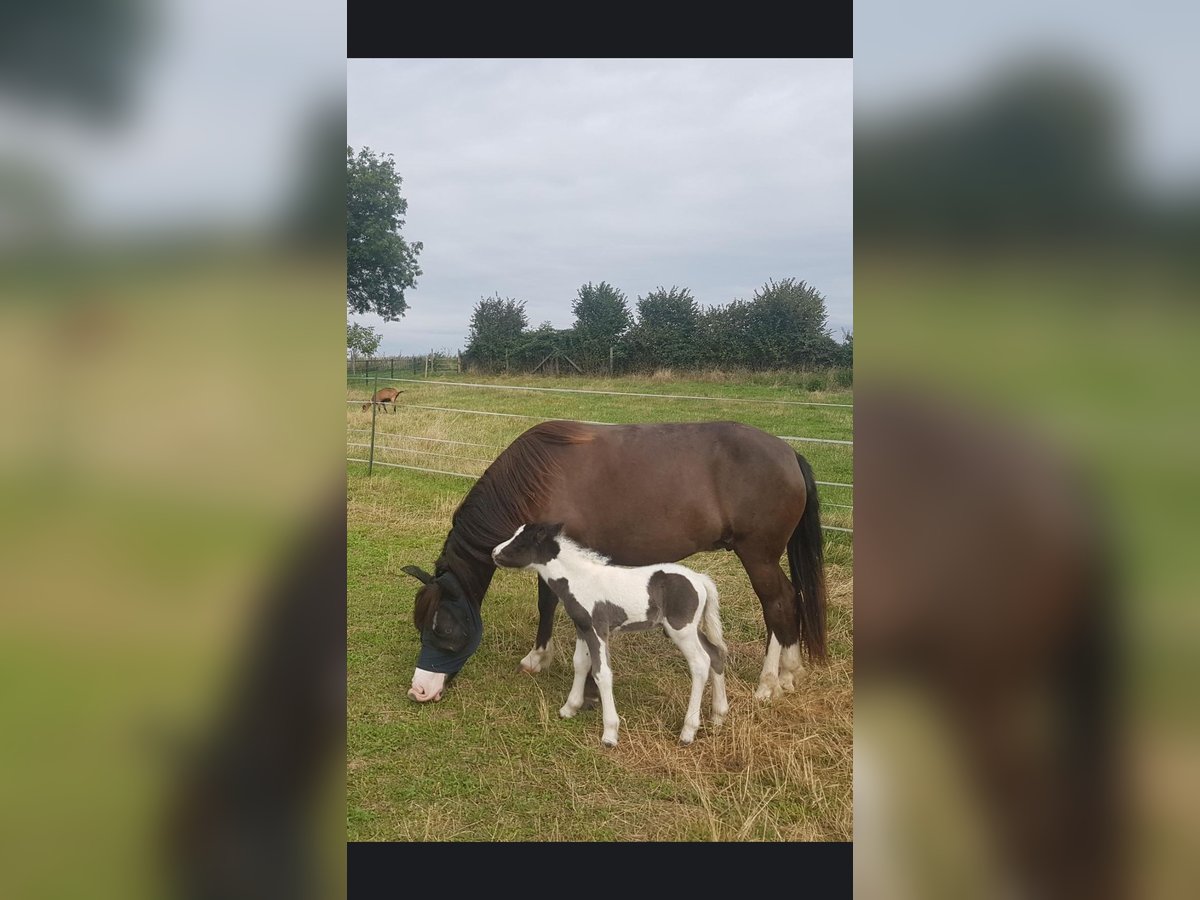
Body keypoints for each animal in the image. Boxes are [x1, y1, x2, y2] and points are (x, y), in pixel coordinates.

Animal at [400, 420, 825, 710]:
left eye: (442, 627)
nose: (420, 690)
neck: (537, 481)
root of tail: (789, 454)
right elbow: (548, 606)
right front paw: (542, 658)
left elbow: (552, 606)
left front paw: (559, 669)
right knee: (790, 600)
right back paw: (790, 672)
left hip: (758, 557)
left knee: (778, 603)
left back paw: (769, 683)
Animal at [489, 520, 729, 748]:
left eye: (520, 544)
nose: (494, 553)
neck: (579, 579)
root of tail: (700, 579)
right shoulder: (582, 627)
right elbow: (580, 663)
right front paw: (569, 708)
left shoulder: (598, 630)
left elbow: (602, 673)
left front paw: (610, 734)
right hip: (690, 629)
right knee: (715, 654)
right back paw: (718, 716)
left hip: (681, 630)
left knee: (700, 663)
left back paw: (688, 731)